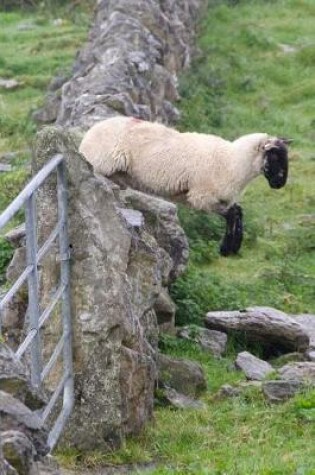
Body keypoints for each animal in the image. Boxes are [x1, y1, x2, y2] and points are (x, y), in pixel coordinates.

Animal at [79, 116, 292, 255]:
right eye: (274, 156)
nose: (280, 183)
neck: (232, 161)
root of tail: (89, 134)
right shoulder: (201, 197)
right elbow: (232, 214)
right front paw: (226, 248)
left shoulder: (219, 197)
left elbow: (238, 211)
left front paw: (234, 246)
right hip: (101, 164)